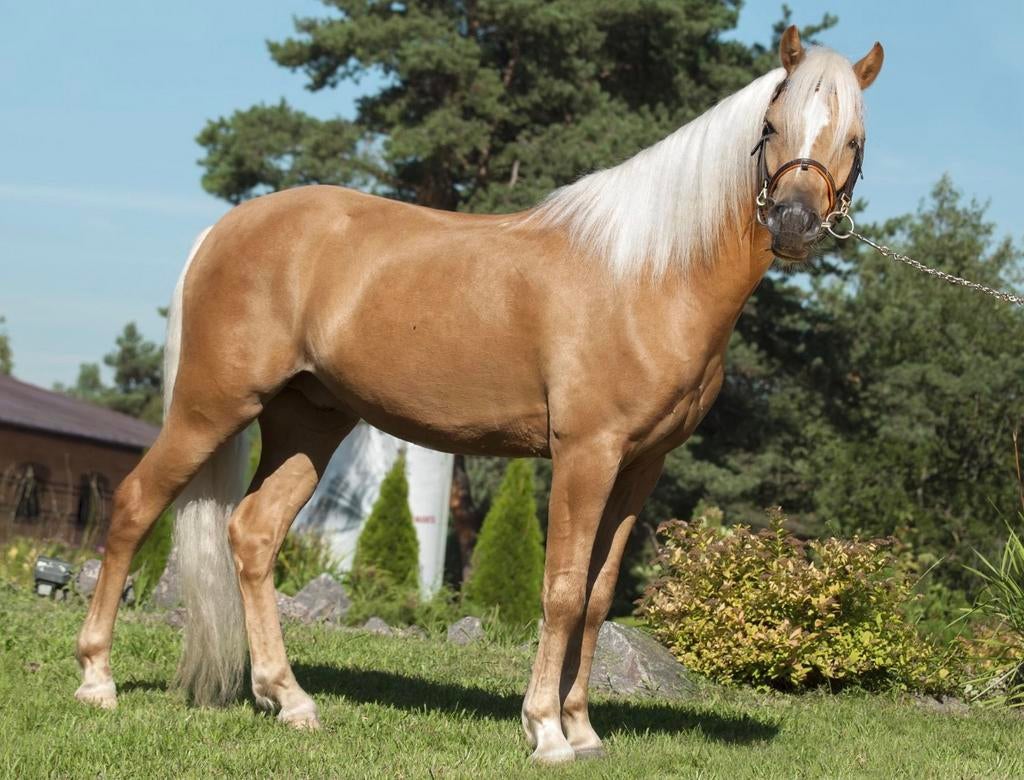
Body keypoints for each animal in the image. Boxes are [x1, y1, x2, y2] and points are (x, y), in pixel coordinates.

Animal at [74, 26, 883, 764]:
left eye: (855, 137)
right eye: (771, 127)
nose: (794, 224)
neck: (648, 274)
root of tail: (225, 229)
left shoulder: (641, 465)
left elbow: (598, 595)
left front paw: (584, 730)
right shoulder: (586, 453)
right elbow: (561, 589)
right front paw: (547, 732)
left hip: (309, 422)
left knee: (252, 534)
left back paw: (289, 699)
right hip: (211, 408)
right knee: (136, 506)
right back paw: (97, 681)